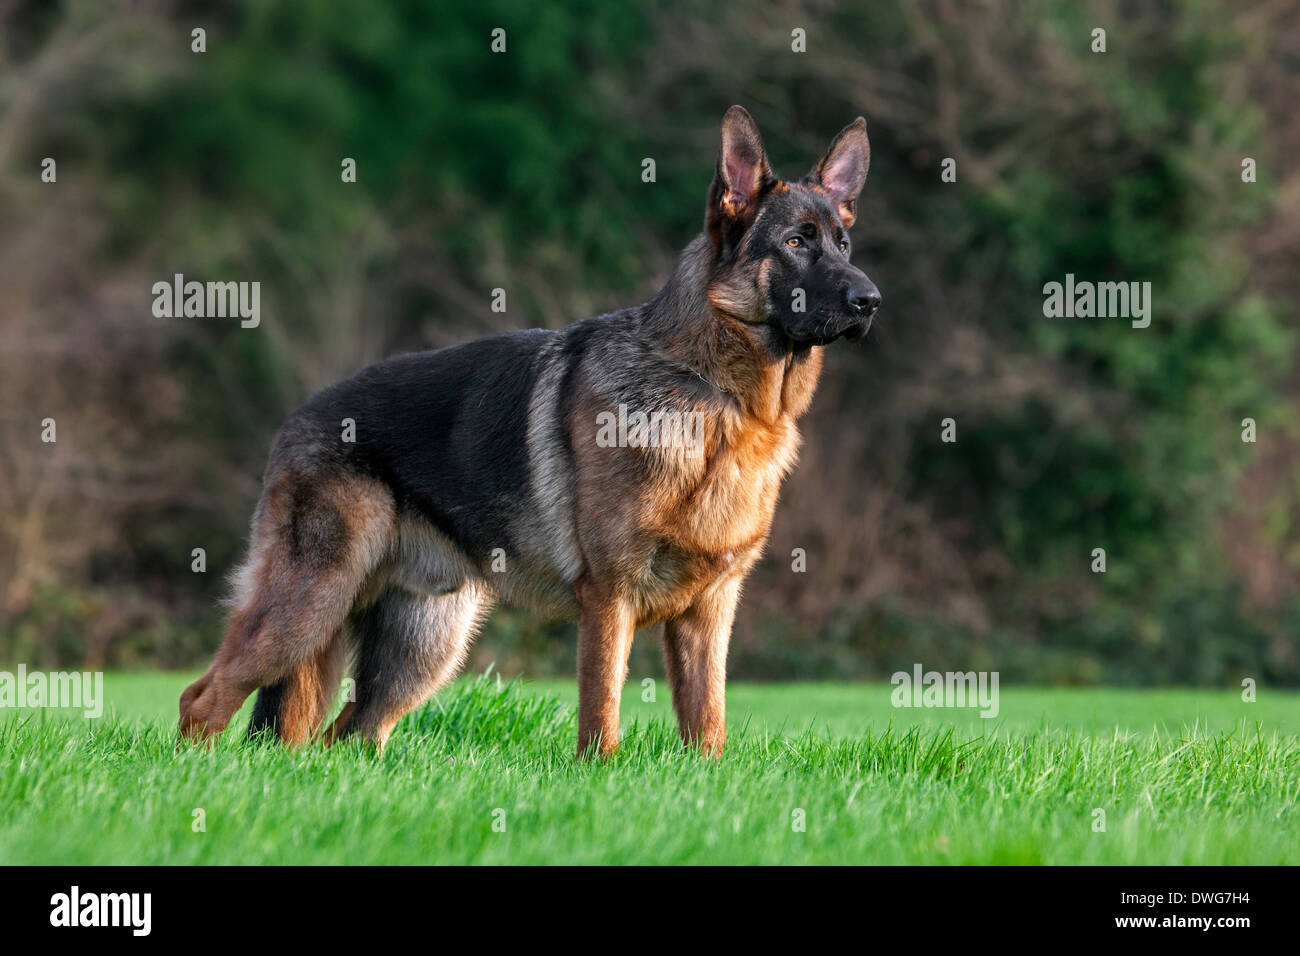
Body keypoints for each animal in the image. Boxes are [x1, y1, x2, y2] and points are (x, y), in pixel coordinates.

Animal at [178, 104, 878, 759]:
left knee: (347, 733)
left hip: (422, 647)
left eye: (843, 246)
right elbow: (602, 716)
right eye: (796, 243)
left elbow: (708, 724)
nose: (871, 300)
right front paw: (601, 777)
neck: (716, 394)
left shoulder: (708, 614)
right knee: (202, 698)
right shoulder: (610, 599)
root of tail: (303, 414)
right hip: (312, 605)